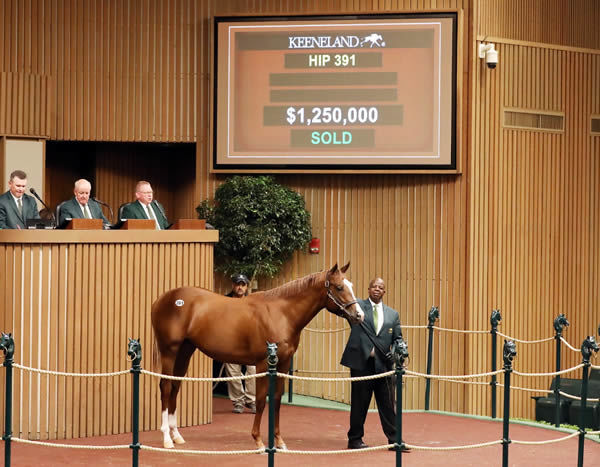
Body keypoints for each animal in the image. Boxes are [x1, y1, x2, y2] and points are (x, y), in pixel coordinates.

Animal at [152, 264, 364, 450]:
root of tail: (162, 299)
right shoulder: (263, 363)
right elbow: (262, 400)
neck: (281, 313)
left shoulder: (283, 364)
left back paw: (176, 435)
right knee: (165, 386)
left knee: (175, 386)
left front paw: (279, 441)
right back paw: (166, 438)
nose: (359, 315)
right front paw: (259, 440)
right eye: (339, 287)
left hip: (185, 351)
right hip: (169, 351)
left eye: (352, 285)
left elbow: (276, 399)